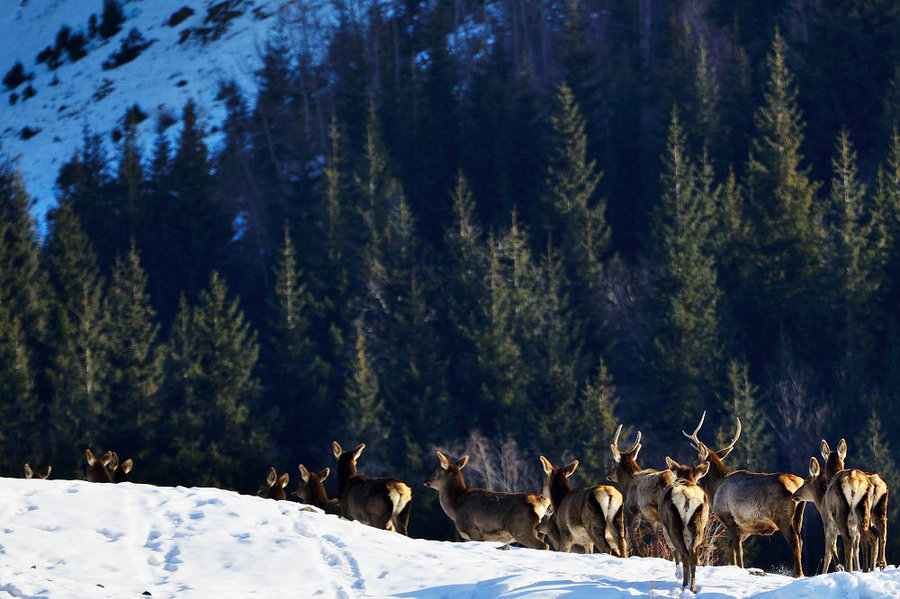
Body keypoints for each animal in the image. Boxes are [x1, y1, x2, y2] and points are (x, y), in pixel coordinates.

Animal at [604, 426, 676, 556]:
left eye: (613, 463)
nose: (608, 474)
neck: (627, 485)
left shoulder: (634, 509)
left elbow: (630, 530)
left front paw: (638, 553)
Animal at [652, 460, 712, 596]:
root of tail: (688, 496)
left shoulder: (665, 530)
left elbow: (673, 550)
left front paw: (678, 574)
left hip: (672, 524)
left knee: (684, 553)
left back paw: (684, 585)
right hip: (698, 523)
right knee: (693, 553)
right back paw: (692, 588)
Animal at [684, 414, 808, 580]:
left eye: (694, 462)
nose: (691, 477)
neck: (715, 490)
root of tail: (796, 483)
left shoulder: (728, 517)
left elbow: (737, 547)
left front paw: (740, 568)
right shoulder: (745, 527)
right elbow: (732, 546)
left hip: (782, 517)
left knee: (794, 541)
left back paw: (798, 574)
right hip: (799, 516)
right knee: (801, 540)